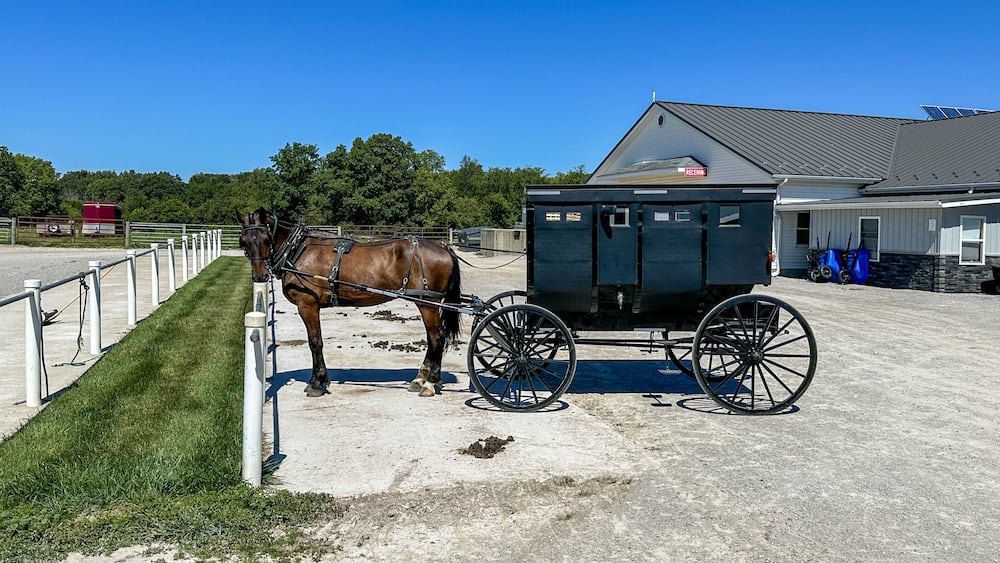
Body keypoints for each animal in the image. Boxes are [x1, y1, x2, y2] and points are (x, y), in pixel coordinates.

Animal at [236, 208, 462, 398]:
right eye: (243, 241)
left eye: (266, 239)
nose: (260, 276)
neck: (299, 250)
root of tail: (443, 247)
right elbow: (315, 341)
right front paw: (319, 380)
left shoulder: (307, 305)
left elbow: (315, 342)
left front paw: (317, 383)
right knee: (433, 338)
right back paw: (420, 379)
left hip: (429, 303)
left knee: (437, 338)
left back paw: (430, 383)